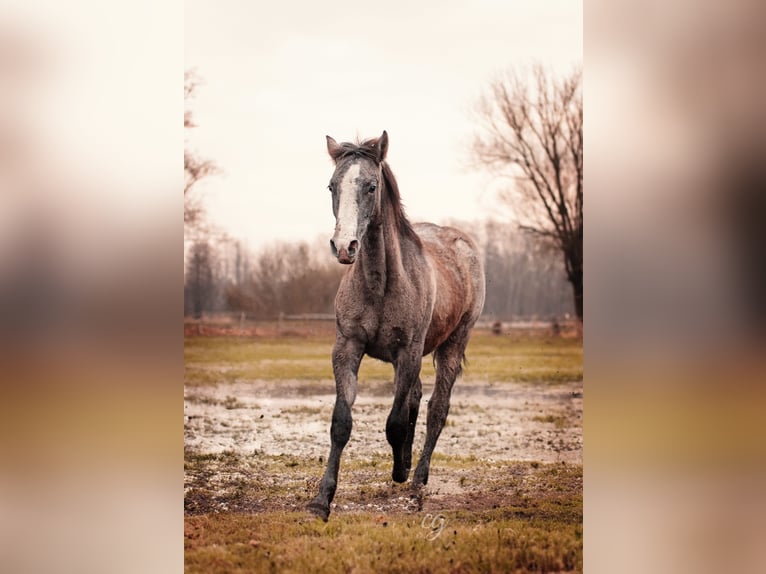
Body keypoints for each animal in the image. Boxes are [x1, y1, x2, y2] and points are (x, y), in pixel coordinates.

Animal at [308, 130, 484, 520]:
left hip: (452, 344)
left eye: (371, 186)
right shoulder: (347, 348)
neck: (380, 282)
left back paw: (416, 475)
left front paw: (400, 472)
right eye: (331, 186)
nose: (344, 246)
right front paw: (321, 500)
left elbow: (395, 422)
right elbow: (341, 423)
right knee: (416, 398)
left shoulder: (409, 352)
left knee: (436, 409)